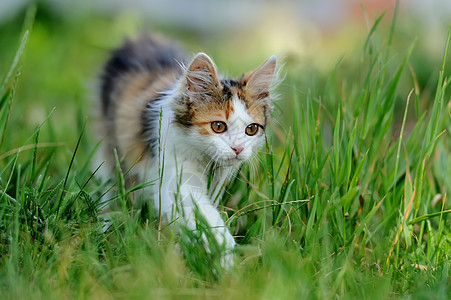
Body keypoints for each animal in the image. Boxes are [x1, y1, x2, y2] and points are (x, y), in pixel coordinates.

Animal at [97, 35, 278, 268]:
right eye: (218, 126)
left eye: (251, 129)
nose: (238, 148)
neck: (206, 159)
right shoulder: (175, 178)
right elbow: (204, 214)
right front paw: (225, 254)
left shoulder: (218, 180)